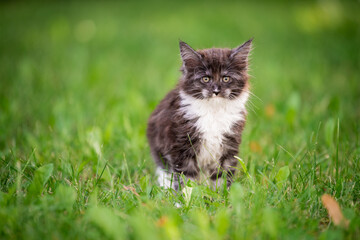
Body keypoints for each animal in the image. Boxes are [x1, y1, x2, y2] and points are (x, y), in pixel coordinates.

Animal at [146, 39, 253, 189]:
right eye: (205, 79)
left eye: (226, 79)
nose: (216, 91)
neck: (214, 112)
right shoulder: (181, 145)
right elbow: (186, 177)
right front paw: (185, 195)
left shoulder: (229, 145)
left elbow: (222, 176)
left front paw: (222, 194)